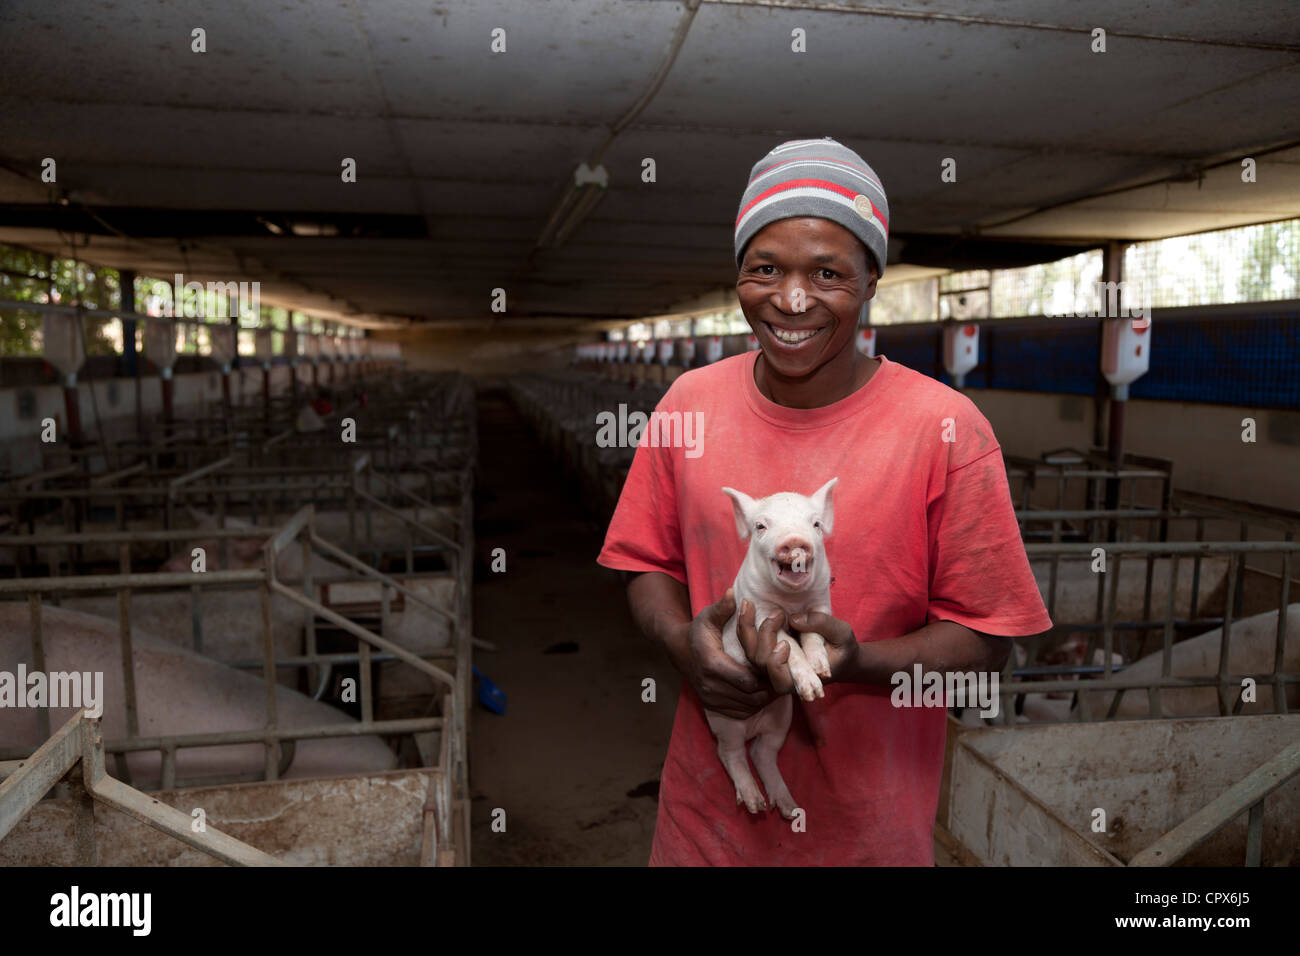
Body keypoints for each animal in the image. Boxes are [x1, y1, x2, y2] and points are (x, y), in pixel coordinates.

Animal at [707, 476, 837, 816]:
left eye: (815, 524)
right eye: (760, 526)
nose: (794, 539)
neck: (791, 603)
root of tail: (753, 726)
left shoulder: (820, 604)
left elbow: (812, 635)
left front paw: (822, 673)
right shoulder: (761, 614)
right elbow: (787, 644)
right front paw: (813, 688)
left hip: (782, 718)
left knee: (763, 753)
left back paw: (788, 808)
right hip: (723, 719)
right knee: (730, 753)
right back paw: (755, 805)